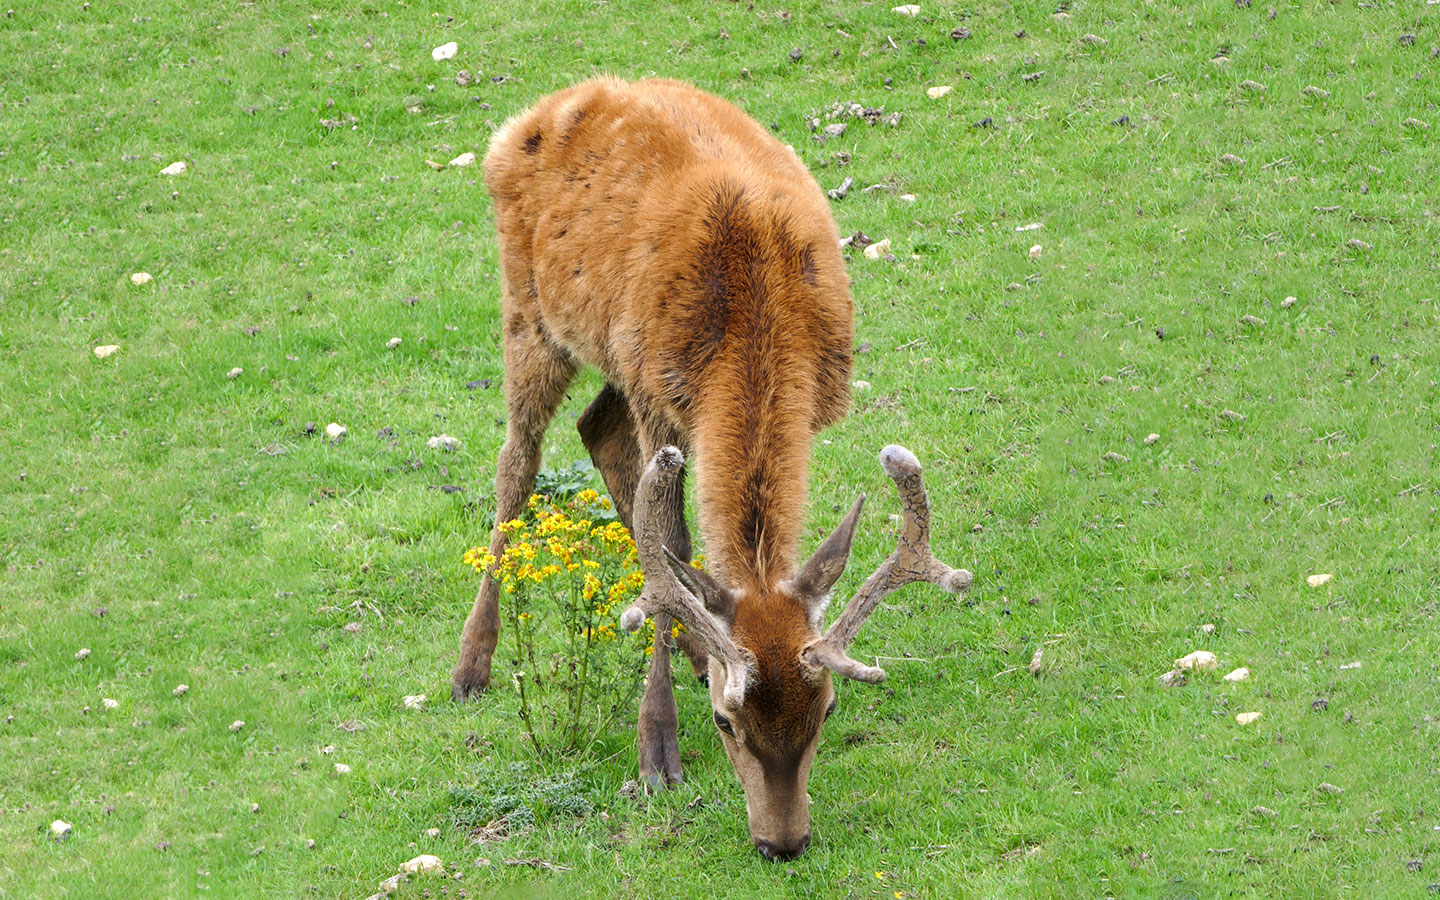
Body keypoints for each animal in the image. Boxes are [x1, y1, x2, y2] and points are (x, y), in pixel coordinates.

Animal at [449, 78, 967, 858]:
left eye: (826, 711)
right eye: (728, 723)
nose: (783, 841)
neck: (754, 314)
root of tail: (530, 118)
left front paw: (696, 647)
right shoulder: (655, 392)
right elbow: (670, 544)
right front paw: (655, 751)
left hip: (612, 360)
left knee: (596, 427)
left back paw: (695, 647)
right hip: (530, 309)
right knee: (518, 459)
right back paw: (471, 665)